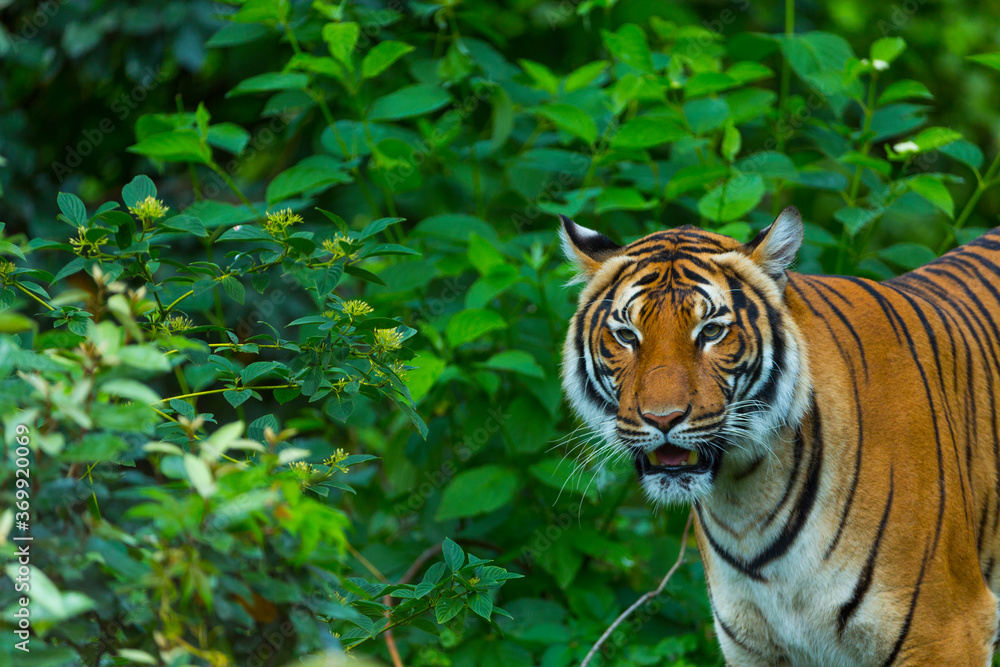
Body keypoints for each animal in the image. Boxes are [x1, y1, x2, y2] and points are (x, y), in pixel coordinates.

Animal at [559, 206, 1000, 666]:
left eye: (711, 331)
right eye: (627, 335)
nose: (663, 418)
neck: (746, 500)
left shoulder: (946, 628)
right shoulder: (753, 645)